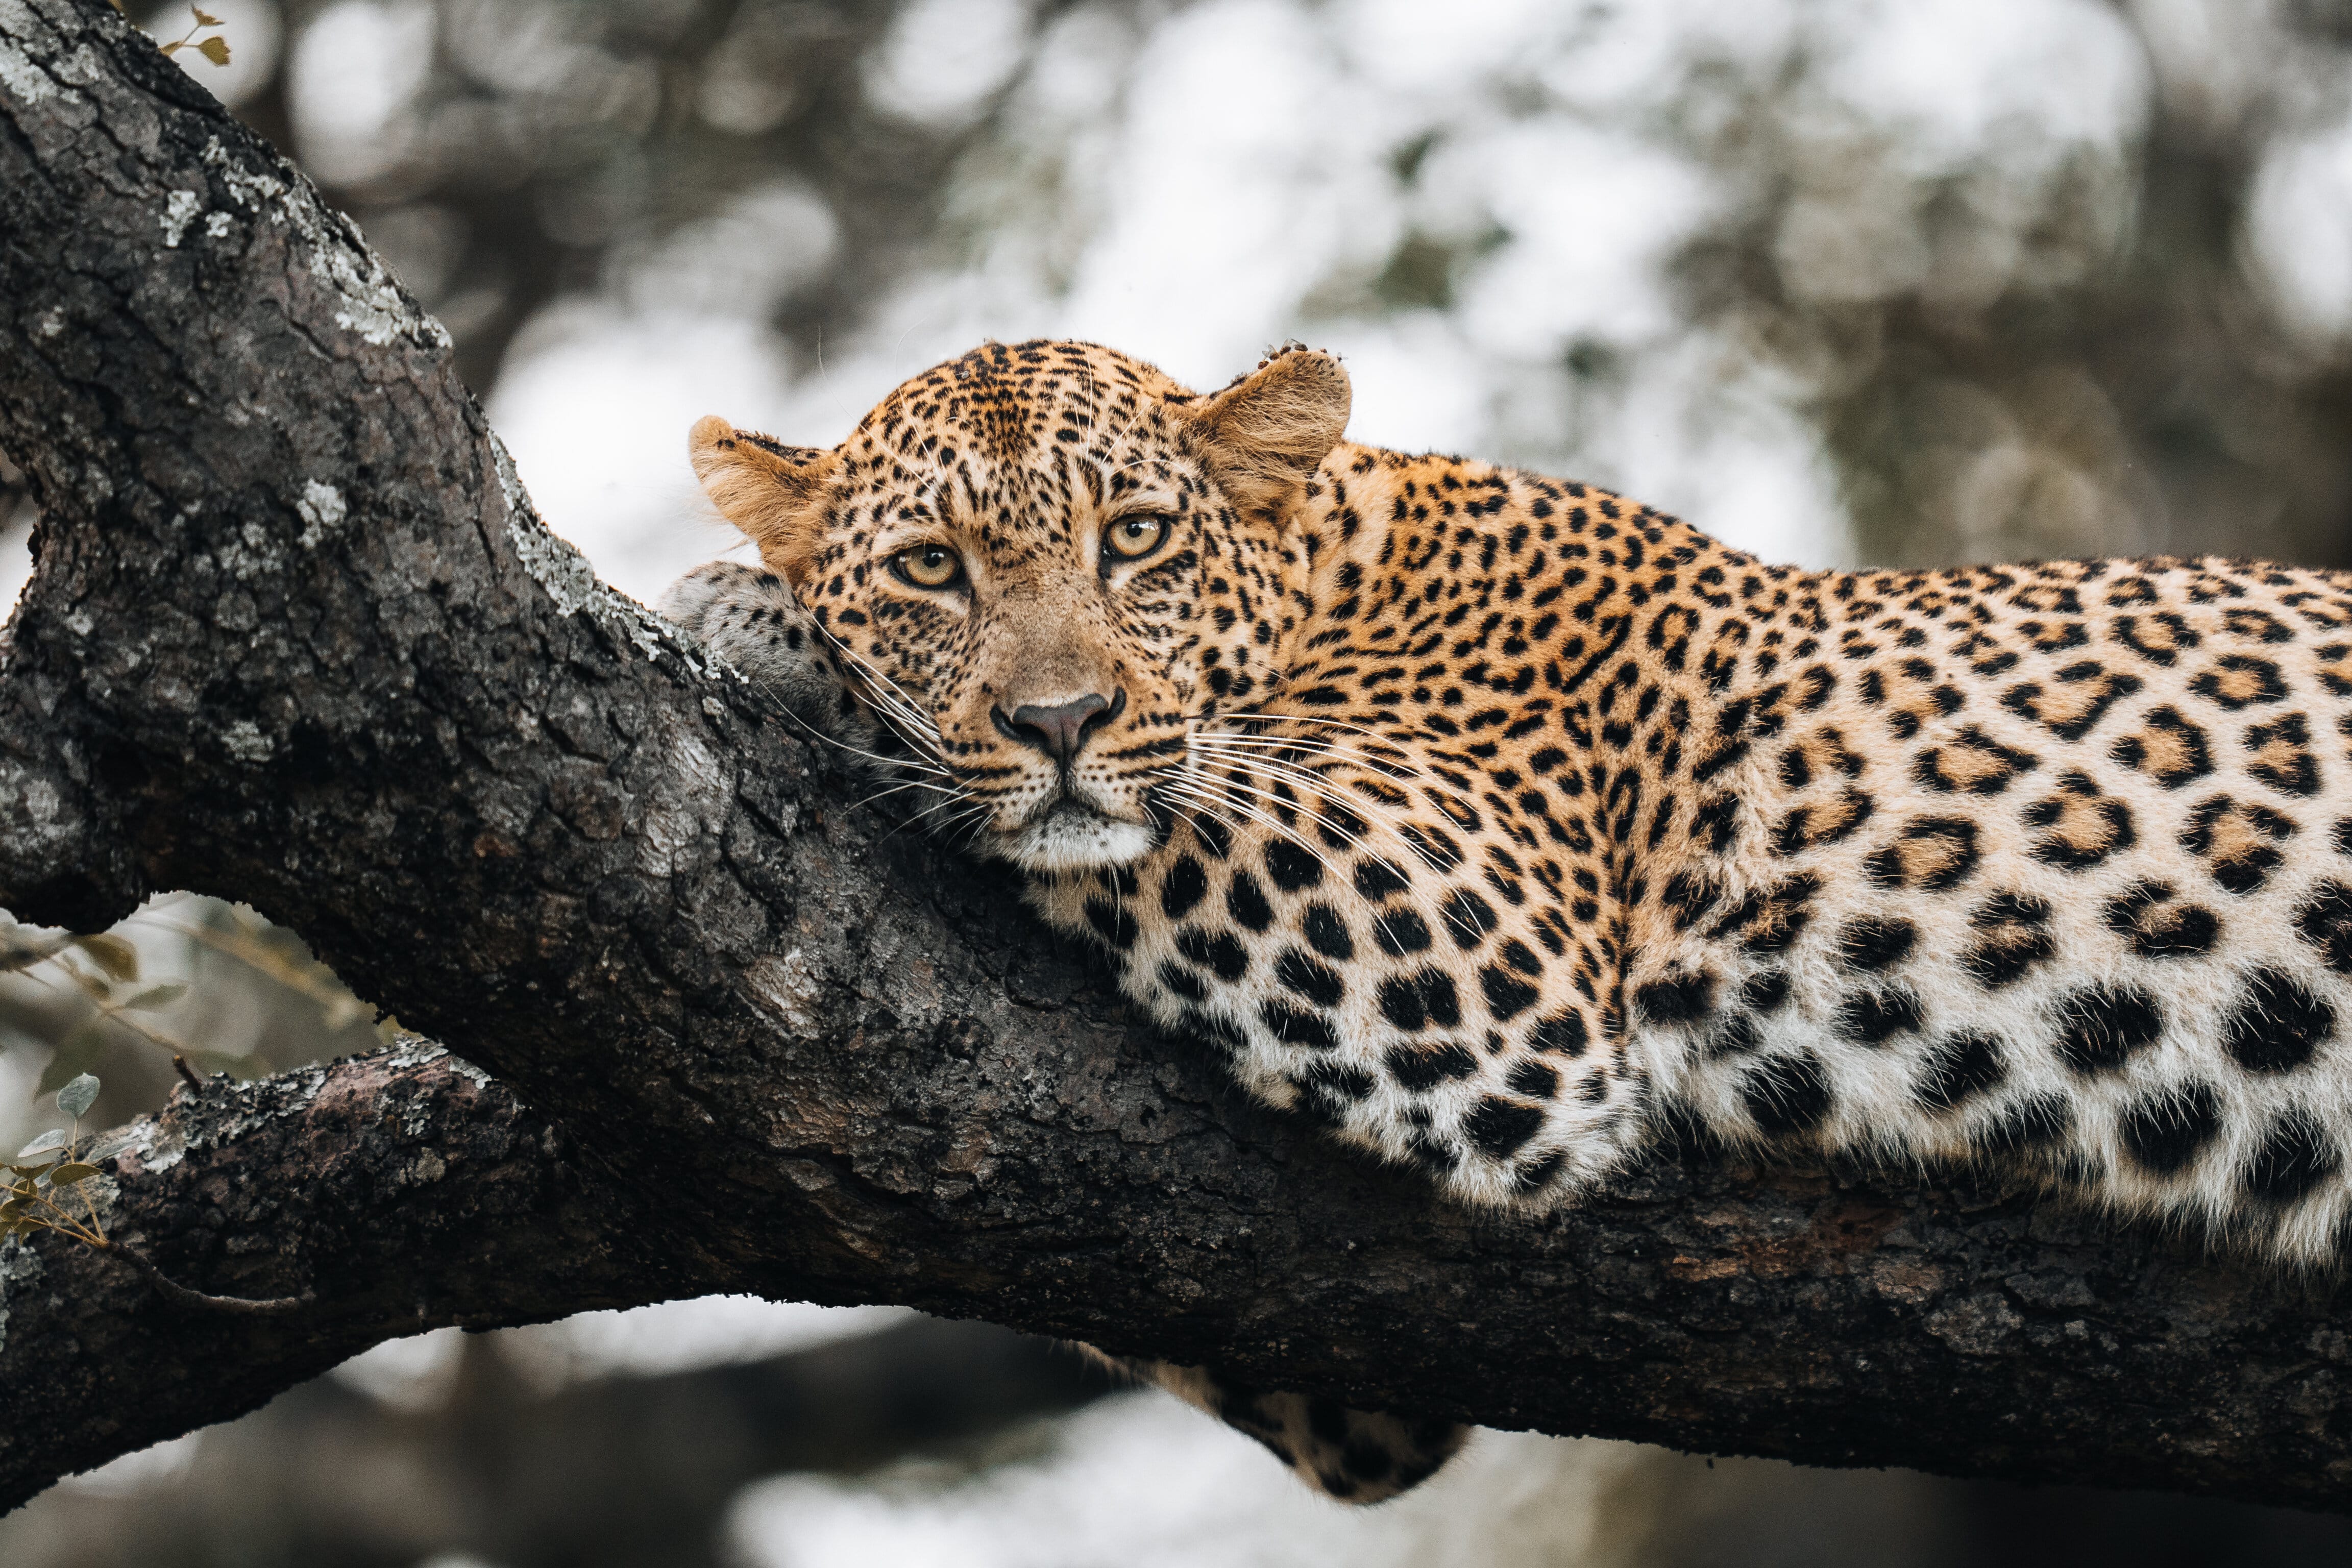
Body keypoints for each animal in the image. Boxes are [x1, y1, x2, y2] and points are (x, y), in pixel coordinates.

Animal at [658, 338, 2352, 1504]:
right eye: (929, 569)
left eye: (1133, 538)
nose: (1060, 721)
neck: (1328, 576)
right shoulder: (1362, 1401)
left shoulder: (1479, 949)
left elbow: (1146, 812)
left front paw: (746, 613)